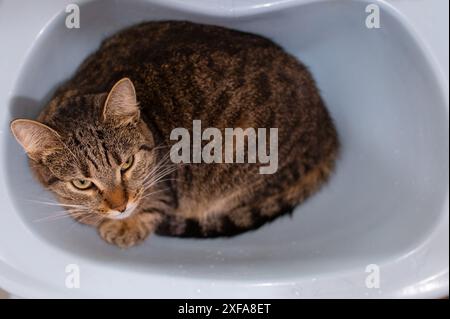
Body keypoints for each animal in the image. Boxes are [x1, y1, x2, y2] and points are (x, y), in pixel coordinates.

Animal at [9, 20, 338, 250]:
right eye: (81, 183)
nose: (120, 206)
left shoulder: (164, 186)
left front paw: (124, 226)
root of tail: (327, 127)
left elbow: (151, 206)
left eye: (126, 164)